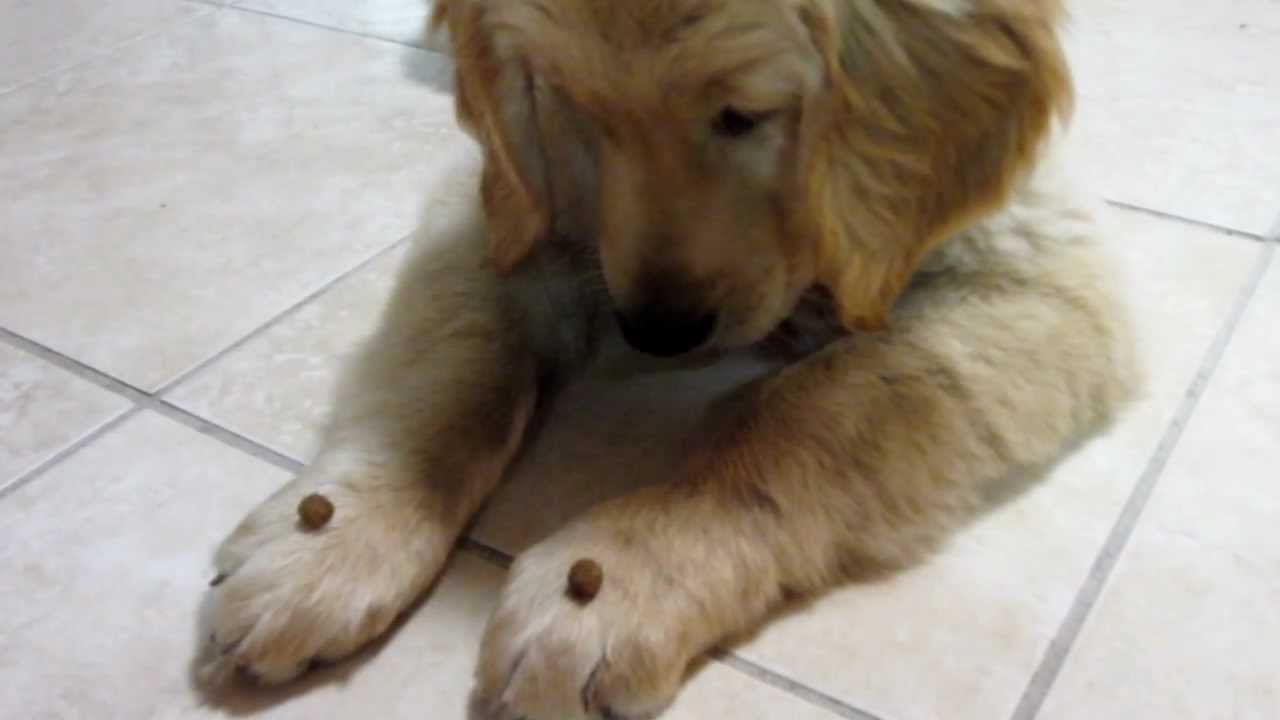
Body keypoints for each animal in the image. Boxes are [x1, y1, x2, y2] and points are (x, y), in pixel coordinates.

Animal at [197, 1, 1141, 717]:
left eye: (743, 115)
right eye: (579, 103)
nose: (655, 331)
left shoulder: (1046, 278)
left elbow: (813, 408)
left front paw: (620, 574)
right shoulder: (505, 205)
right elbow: (452, 369)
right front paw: (335, 533)